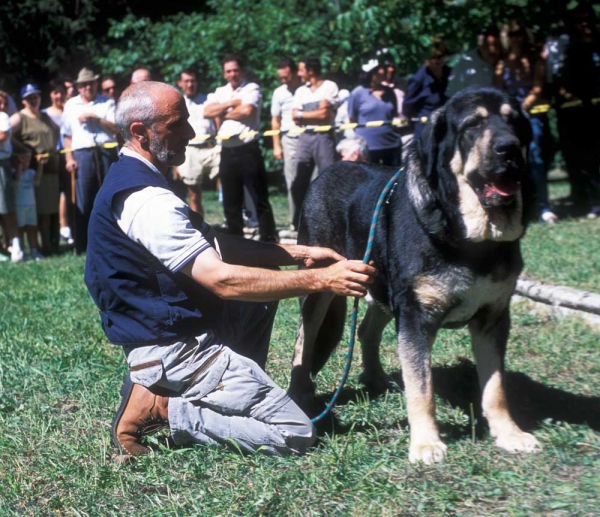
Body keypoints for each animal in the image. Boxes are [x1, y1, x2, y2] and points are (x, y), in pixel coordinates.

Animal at [288, 86, 540, 462]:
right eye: (473, 125)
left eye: (515, 124)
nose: (509, 148)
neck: (469, 238)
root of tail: (326, 172)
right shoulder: (416, 318)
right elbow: (422, 387)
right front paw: (426, 443)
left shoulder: (492, 318)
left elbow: (495, 386)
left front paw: (510, 434)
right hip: (321, 288)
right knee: (304, 341)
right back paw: (299, 391)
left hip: (380, 283)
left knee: (366, 330)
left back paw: (375, 378)